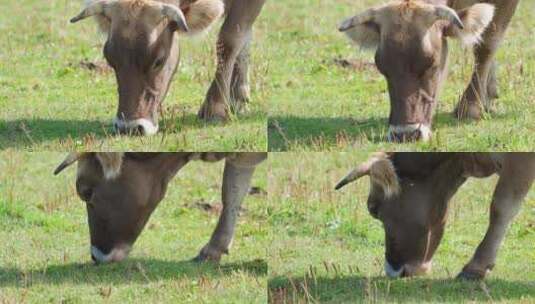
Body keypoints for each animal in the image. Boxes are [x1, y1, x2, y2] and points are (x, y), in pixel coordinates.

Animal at [70, 0, 266, 135]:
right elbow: (243, 39)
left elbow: (231, 38)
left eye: (159, 60)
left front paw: (215, 108)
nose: (129, 127)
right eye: (110, 58)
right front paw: (237, 98)